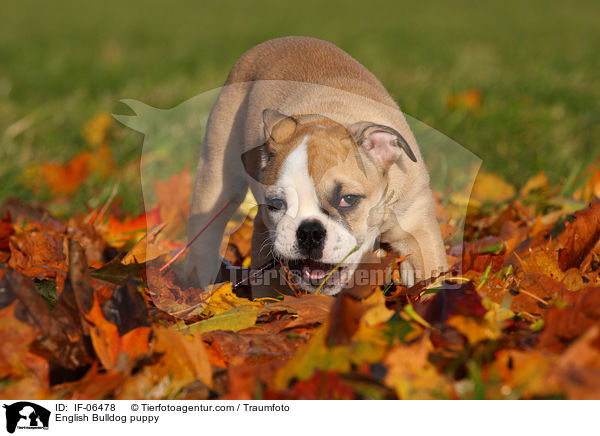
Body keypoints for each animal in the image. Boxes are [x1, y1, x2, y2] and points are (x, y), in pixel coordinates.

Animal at [185, 36, 448, 296]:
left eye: (348, 200)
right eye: (277, 204)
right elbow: (268, 291)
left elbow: (429, 281)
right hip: (217, 174)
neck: (332, 116)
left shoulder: (419, 233)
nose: (309, 232)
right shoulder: (263, 234)